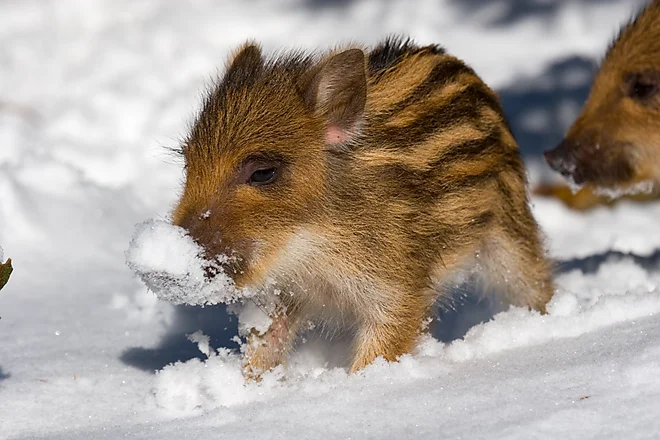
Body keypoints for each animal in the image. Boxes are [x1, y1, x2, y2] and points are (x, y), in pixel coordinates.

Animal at [171, 37, 555, 379]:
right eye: (188, 162)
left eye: (263, 172)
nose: (167, 268)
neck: (311, 244)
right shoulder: (285, 290)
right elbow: (266, 344)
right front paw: (251, 386)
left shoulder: (396, 284)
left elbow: (383, 345)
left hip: (507, 227)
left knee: (532, 280)